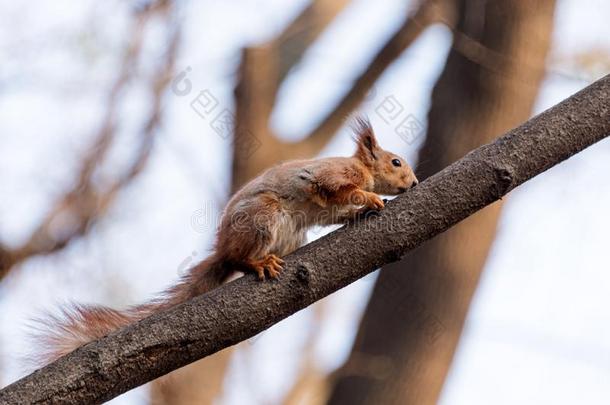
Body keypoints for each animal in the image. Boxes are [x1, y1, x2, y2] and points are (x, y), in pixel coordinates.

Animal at [34, 116, 418, 362]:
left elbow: (337, 211)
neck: (364, 170)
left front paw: (363, 209)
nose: (414, 184)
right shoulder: (332, 176)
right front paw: (369, 198)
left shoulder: (327, 208)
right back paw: (257, 263)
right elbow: (337, 189)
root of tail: (222, 246)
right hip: (264, 217)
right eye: (396, 162)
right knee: (238, 260)